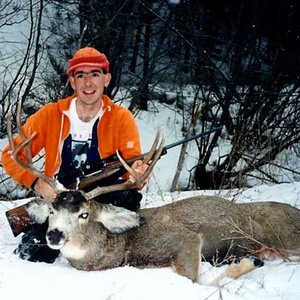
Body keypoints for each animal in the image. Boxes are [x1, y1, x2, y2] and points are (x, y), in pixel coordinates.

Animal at [4, 100, 300, 284]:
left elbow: (193, 280)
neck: (122, 245)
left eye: (84, 214)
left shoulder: (187, 240)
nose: (54, 234)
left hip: (284, 238)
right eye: (53, 210)